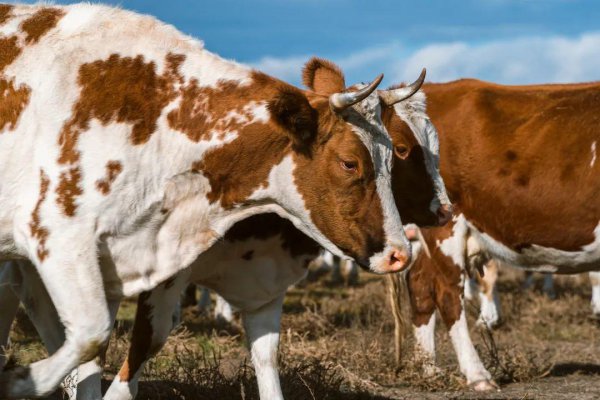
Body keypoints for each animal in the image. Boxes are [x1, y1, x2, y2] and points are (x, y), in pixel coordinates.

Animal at [0, 4, 422, 398]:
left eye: (393, 158)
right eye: (349, 162)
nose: (399, 253)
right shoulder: (57, 236)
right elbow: (93, 334)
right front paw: (18, 380)